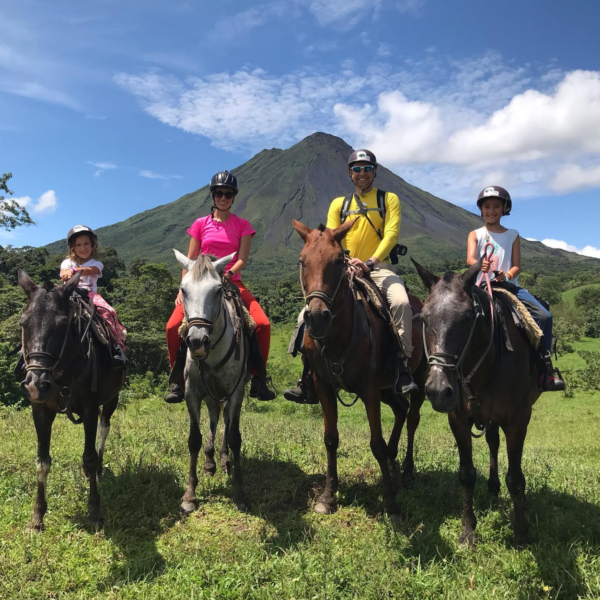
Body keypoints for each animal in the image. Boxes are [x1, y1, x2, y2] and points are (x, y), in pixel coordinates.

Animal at [18, 270, 125, 528]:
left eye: (63, 324)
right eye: (23, 323)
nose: (35, 384)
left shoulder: (89, 408)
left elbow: (89, 458)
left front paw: (94, 511)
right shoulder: (40, 410)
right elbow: (42, 461)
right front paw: (37, 516)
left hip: (112, 398)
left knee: (104, 428)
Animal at [292, 218, 426, 516]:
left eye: (338, 261)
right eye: (302, 261)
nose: (317, 317)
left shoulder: (369, 390)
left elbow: (376, 444)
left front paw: (391, 503)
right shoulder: (322, 386)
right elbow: (330, 438)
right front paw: (328, 495)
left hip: (418, 381)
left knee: (412, 417)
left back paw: (407, 470)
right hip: (389, 388)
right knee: (401, 409)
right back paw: (394, 464)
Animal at [414, 255, 540, 548]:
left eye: (468, 317)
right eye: (423, 318)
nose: (438, 390)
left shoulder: (518, 420)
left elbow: (516, 478)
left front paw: (521, 533)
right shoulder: (458, 420)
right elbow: (466, 474)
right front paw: (469, 531)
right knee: (492, 441)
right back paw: (492, 487)